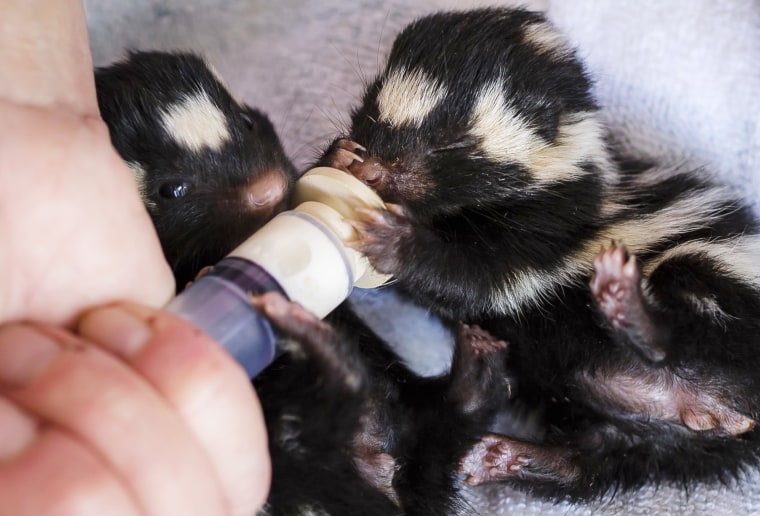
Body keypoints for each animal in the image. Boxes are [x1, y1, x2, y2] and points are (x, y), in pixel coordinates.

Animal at [320, 6, 760, 502]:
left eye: (453, 144)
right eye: (372, 110)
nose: (375, 171)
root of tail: (720, 412)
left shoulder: (552, 232)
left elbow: (482, 279)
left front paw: (396, 239)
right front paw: (338, 156)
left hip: (717, 285)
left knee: (685, 312)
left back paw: (629, 306)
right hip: (648, 437)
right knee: (589, 464)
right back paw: (502, 455)